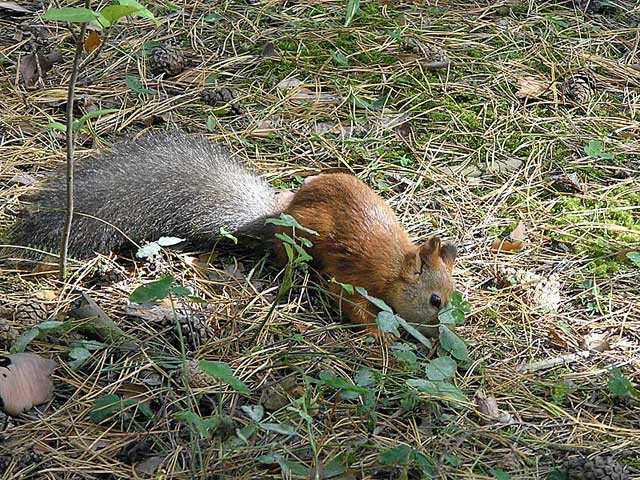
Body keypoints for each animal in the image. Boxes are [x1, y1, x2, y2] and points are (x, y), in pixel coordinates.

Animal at [3, 132, 457, 334]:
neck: (395, 268)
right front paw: (379, 336)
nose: (441, 328)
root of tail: (281, 213)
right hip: (302, 240)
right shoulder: (357, 279)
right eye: (435, 300)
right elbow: (353, 306)